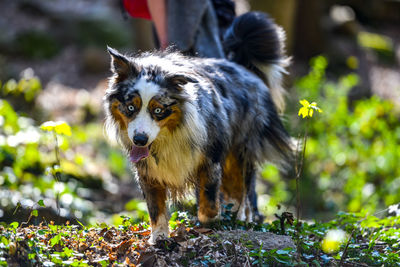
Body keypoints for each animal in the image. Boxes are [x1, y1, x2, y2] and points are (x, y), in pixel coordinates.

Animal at [103, 11, 290, 244]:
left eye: (158, 111)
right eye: (130, 107)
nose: (140, 140)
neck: (169, 135)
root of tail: (241, 67)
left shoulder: (210, 158)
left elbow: (208, 200)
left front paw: (210, 223)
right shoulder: (148, 170)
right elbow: (156, 207)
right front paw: (159, 237)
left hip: (240, 148)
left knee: (243, 187)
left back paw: (241, 217)